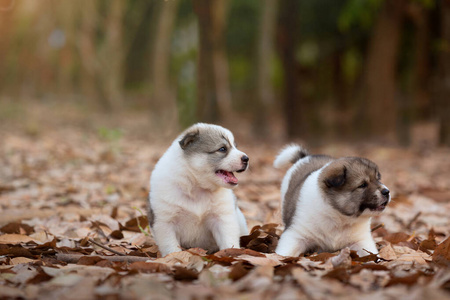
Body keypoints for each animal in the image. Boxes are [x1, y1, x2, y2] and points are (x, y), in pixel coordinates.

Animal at [148, 123, 248, 256]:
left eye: (235, 147)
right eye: (222, 149)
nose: (246, 159)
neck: (197, 188)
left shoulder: (223, 219)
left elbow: (228, 240)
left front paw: (232, 253)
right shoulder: (165, 223)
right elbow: (171, 247)